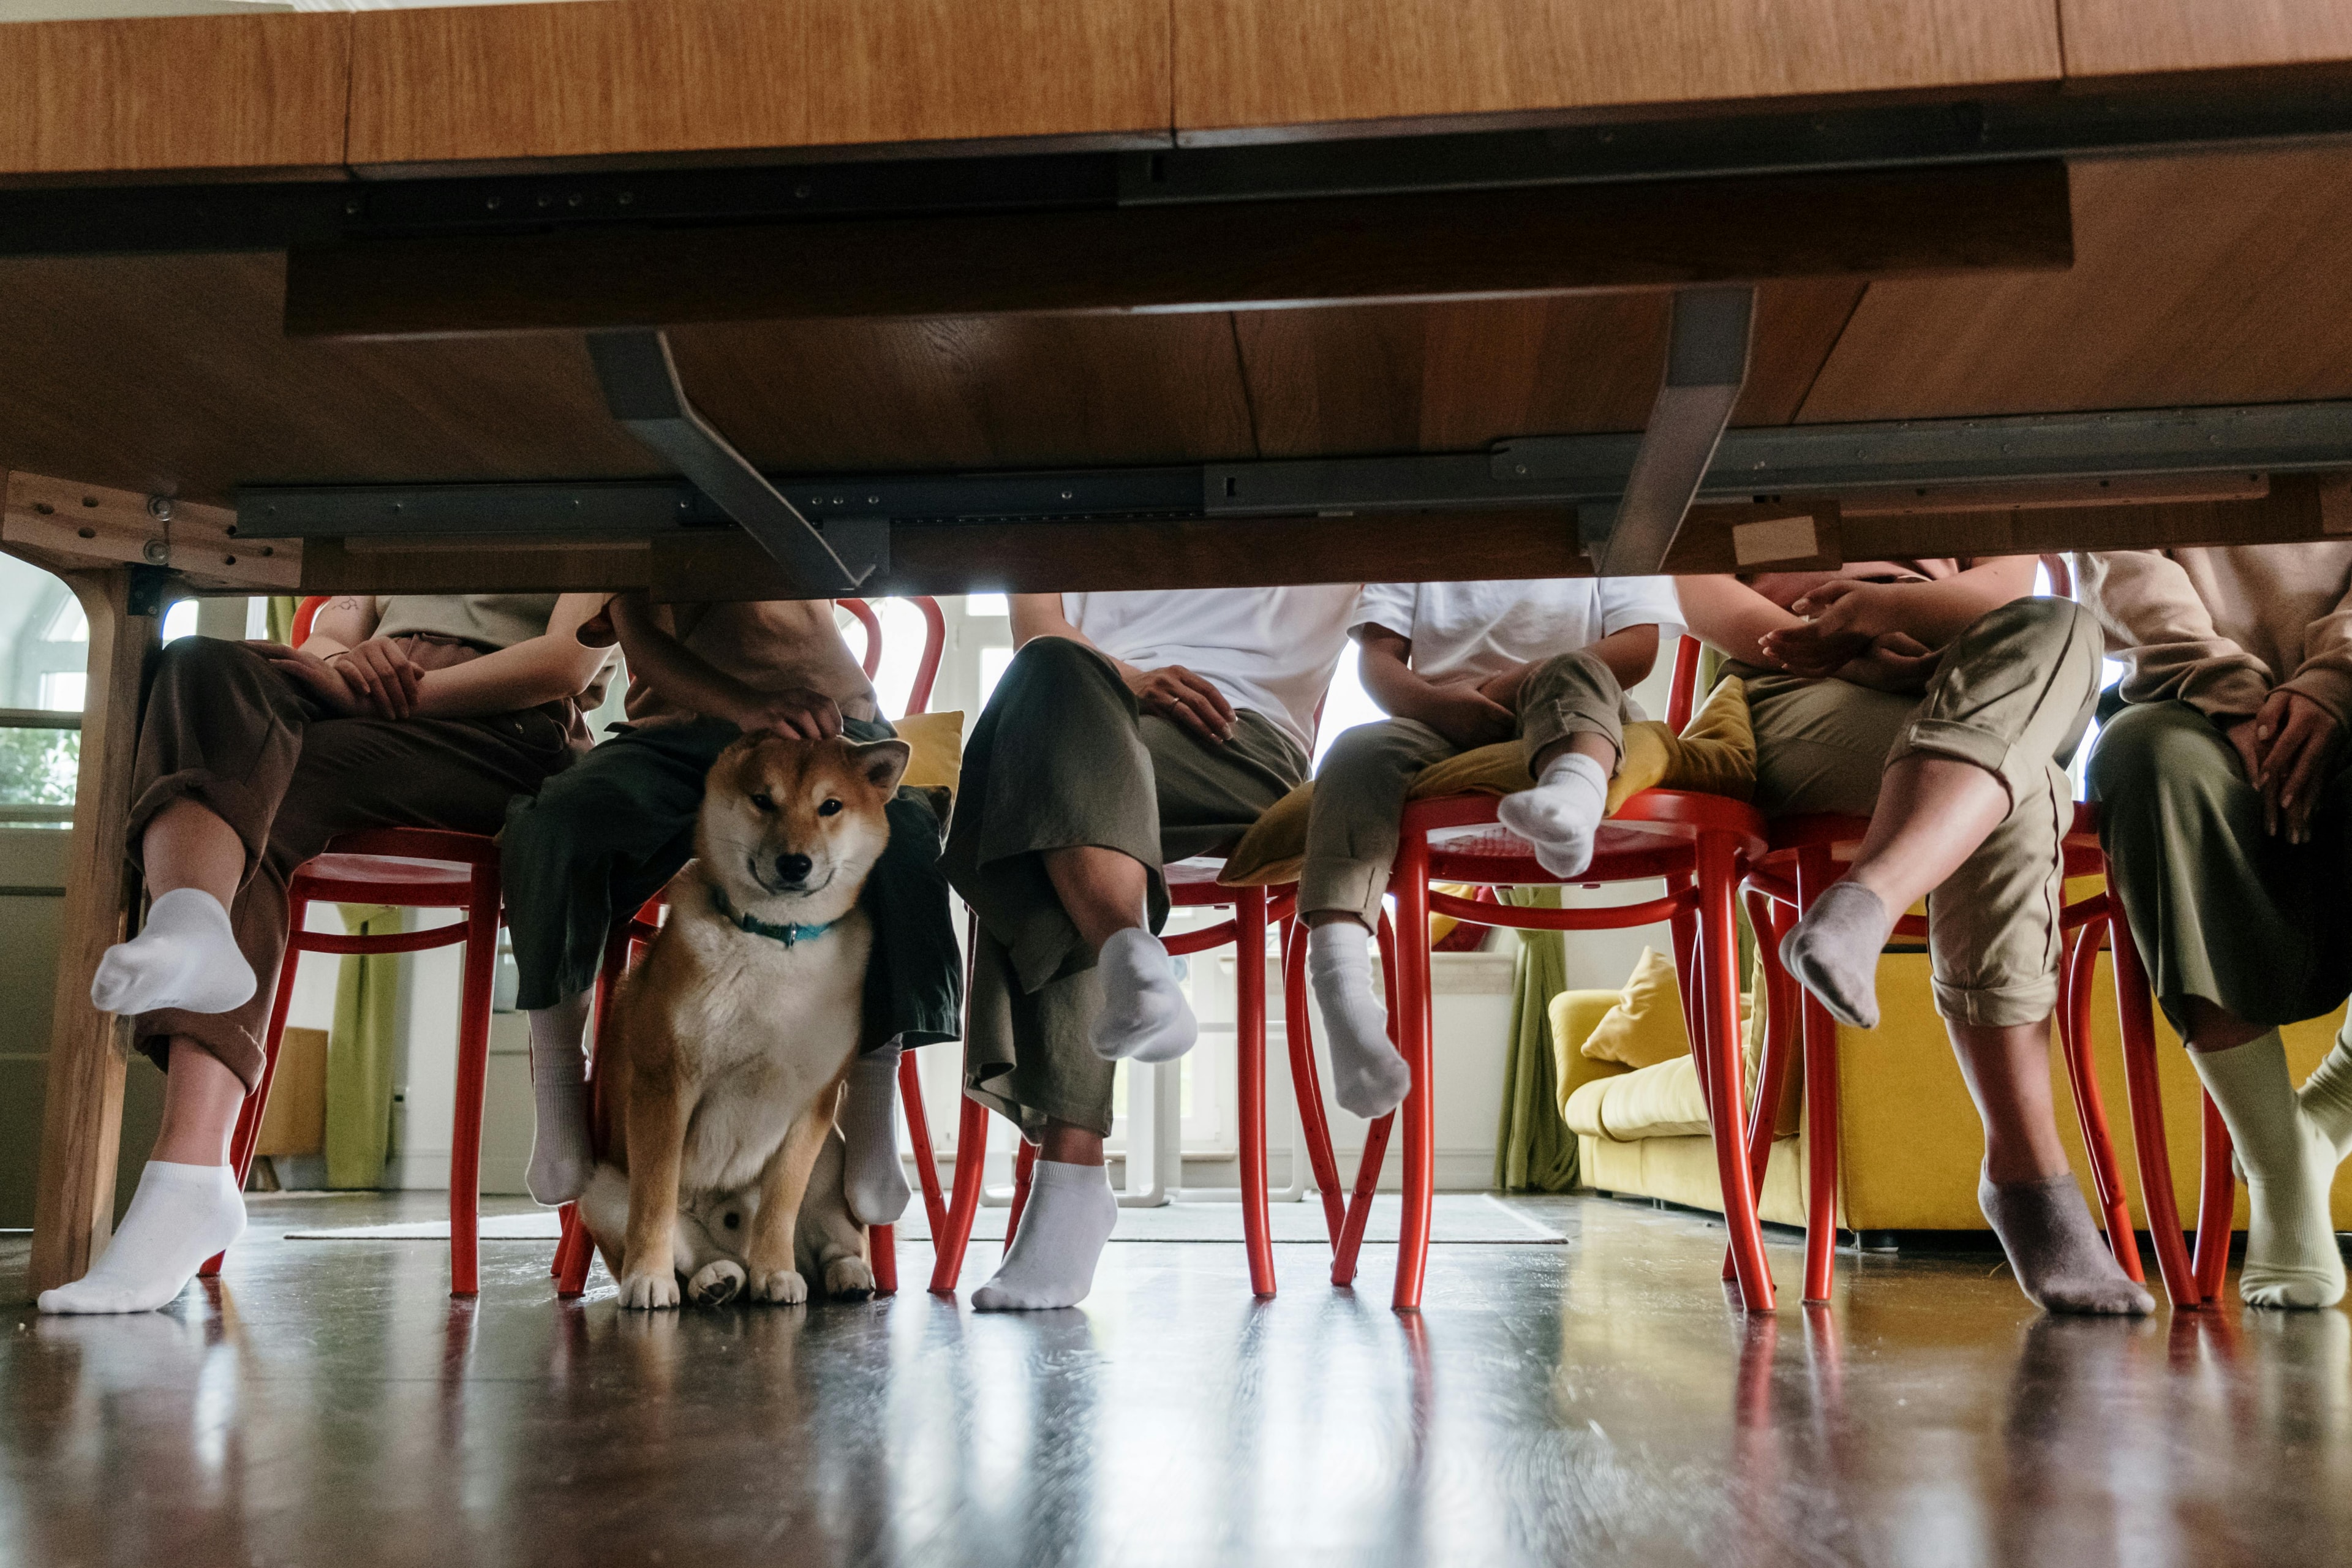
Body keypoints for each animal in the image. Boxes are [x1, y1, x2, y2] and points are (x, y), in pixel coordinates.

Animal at [583, 738, 912, 1316]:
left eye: (830, 806)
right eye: (763, 800)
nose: (795, 863)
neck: (773, 941)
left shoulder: (812, 1104)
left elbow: (780, 1206)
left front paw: (775, 1272)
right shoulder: (665, 1088)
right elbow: (654, 1202)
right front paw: (648, 1278)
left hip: (833, 1158)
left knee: (833, 1242)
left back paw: (843, 1274)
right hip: (599, 1189)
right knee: (695, 1252)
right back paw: (714, 1280)